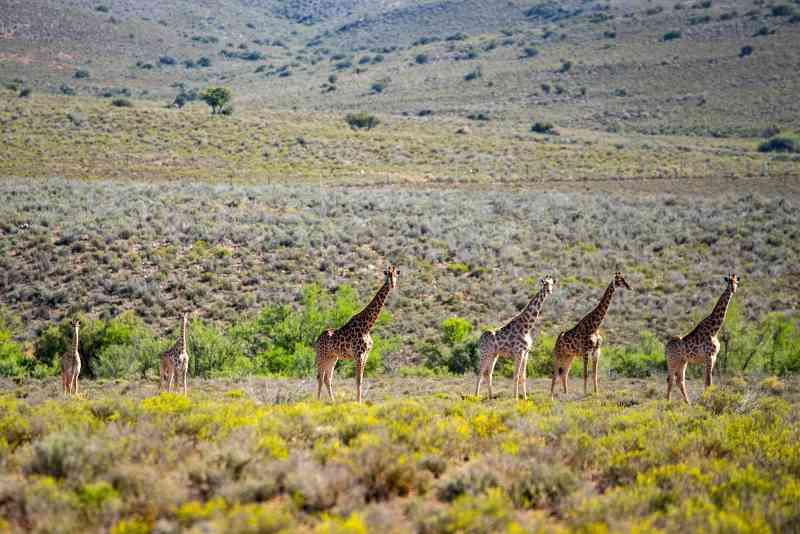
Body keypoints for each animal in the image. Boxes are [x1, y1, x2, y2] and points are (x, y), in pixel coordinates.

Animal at [315, 266, 398, 403]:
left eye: (396, 275)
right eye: (388, 275)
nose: (392, 285)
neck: (367, 326)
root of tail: (316, 341)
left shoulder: (365, 356)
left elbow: (361, 380)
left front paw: (360, 401)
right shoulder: (358, 355)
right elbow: (358, 380)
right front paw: (358, 402)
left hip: (332, 357)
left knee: (327, 378)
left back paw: (333, 401)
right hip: (322, 356)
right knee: (320, 377)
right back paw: (317, 402)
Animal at [665, 274, 738, 404]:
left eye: (736, 282)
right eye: (729, 282)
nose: (733, 290)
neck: (714, 330)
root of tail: (666, 347)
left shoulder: (713, 357)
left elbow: (707, 381)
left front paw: (706, 399)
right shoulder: (709, 356)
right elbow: (708, 381)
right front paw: (707, 401)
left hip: (682, 361)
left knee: (679, 380)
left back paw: (688, 403)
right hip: (673, 360)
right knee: (671, 379)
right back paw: (667, 403)